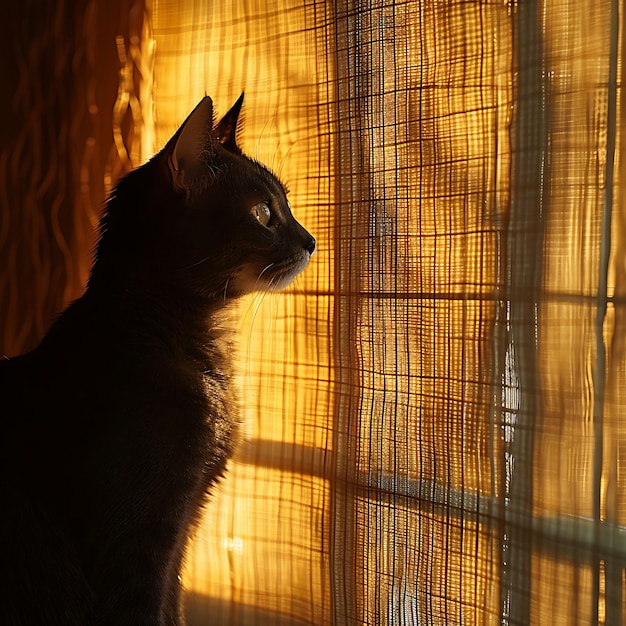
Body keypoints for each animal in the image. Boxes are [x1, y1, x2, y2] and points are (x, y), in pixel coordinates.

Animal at [0, 94, 312, 624]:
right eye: (263, 213)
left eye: (285, 205)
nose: (311, 240)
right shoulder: (139, 539)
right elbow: (147, 607)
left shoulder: (184, 526)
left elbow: (174, 604)